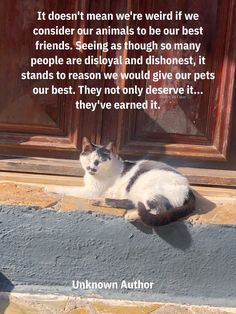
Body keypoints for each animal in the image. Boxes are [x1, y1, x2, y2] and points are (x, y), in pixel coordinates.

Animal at [47, 137, 195, 226]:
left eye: (98, 162)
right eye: (89, 160)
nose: (92, 168)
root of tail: (188, 187)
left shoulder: (90, 190)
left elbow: (66, 188)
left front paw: (48, 187)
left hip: (147, 187)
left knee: (157, 209)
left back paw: (132, 215)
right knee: (131, 202)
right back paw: (100, 201)